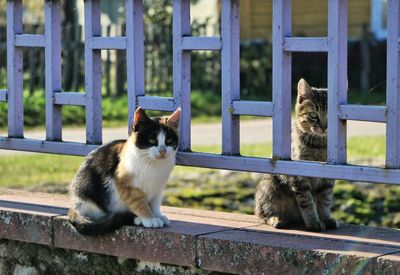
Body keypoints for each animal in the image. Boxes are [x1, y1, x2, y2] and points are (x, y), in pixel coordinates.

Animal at [68, 107, 180, 235]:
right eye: (151, 140)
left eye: (169, 140)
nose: (163, 151)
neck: (152, 164)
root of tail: (75, 205)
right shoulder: (125, 186)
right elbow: (139, 203)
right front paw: (149, 218)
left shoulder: (158, 188)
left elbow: (155, 203)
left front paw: (158, 215)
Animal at [255, 78, 336, 232]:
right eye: (313, 115)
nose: (324, 127)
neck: (319, 144)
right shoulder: (299, 175)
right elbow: (307, 202)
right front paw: (313, 222)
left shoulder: (328, 177)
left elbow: (325, 200)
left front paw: (325, 218)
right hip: (269, 187)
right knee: (263, 213)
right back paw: (277, 219)